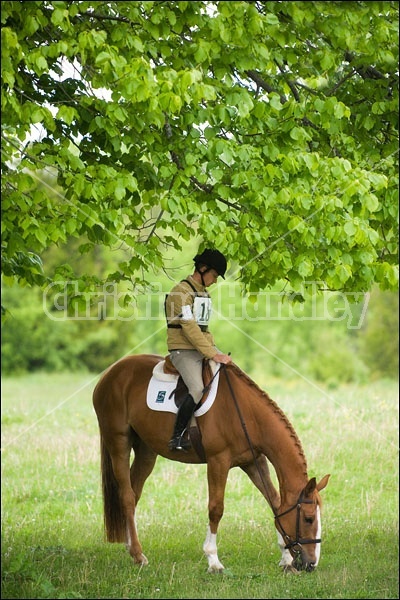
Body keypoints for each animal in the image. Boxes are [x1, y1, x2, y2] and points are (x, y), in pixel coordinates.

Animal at [92, 354, 330, 576]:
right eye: (309, 519)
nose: (312, 563)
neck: (246, 413)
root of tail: (110, 372)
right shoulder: (218, 461)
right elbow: (216, 509)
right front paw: (213, 560)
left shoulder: (253, 462)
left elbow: (275, 502)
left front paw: (286, 559)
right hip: (119, 442)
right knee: (126, 496)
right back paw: (138, 555)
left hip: (146, 451)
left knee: (134, 493)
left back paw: (131, 547)